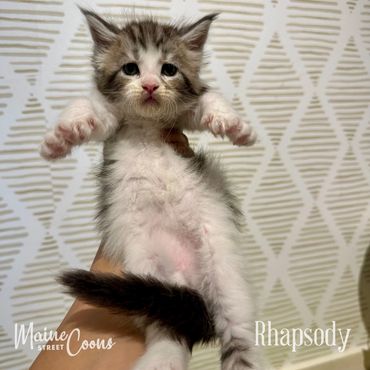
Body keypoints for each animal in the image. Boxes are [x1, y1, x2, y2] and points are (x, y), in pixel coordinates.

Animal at [40, 7, 260, 370]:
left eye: (168, 69)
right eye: (131, 68)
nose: (150, 85)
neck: (146, 123)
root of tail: (188, 279)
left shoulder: (182, 118)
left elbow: (207, 99)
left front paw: (234, 125)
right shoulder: (112, 120)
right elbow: (89, 106)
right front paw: (62, 135)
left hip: (225, 274)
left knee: (238, 335)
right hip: (145, 269)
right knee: (166, 325)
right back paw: (160, 359)